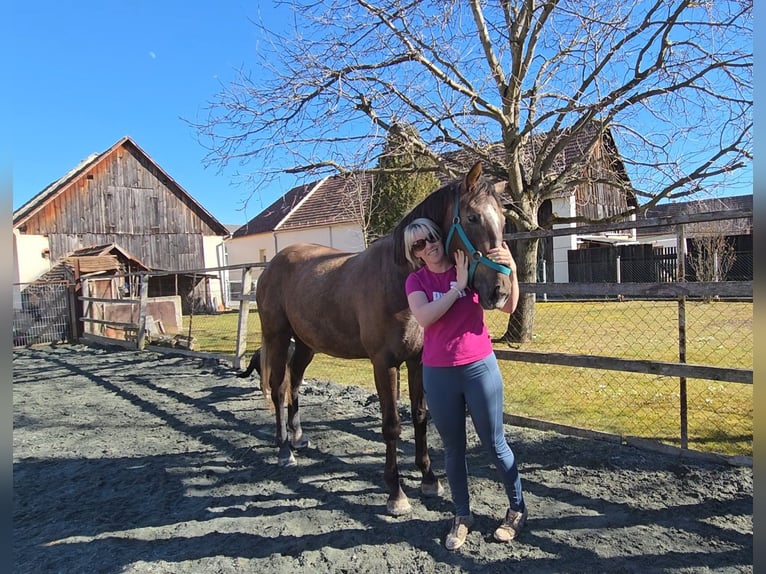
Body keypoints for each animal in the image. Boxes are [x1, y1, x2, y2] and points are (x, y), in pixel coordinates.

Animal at [255, 162, 512, 515]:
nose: (499, 291)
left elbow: (420, 416)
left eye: (503, 220)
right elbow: (391, 425)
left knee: (294, 383)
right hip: (278, 337)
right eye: (473, 217)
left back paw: (298, 436)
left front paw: (429, 478)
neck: (398, 280)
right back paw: (284, 451)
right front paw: (396, 493)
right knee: (279, 388)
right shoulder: (384, 364)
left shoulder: (417, 362)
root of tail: (273, 264)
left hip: (307, 344)